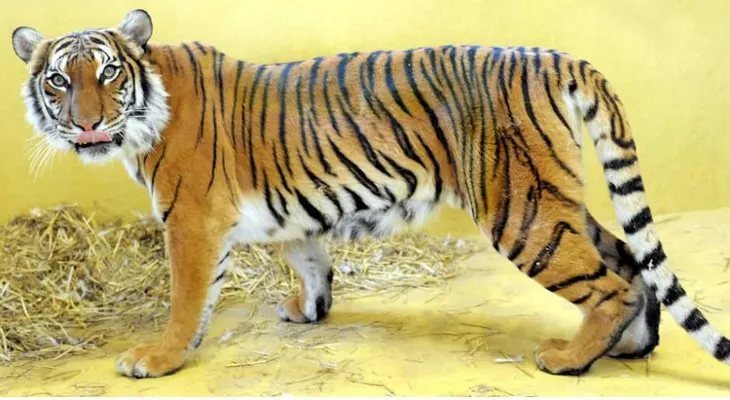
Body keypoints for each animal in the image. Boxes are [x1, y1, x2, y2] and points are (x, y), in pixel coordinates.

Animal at [11, 8, 730, 379]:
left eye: (107, 72)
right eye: (58, 80)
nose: (87, 124)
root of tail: (554, 57)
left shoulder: (190, 221)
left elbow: (189, 300)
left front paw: (158, 359)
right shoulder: (290, 213)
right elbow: (308, 262)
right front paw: (308, 311)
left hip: (521, 209)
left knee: (609, 283)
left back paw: (569, 360)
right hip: (552, 196)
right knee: (629, 260)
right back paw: (629, 347)